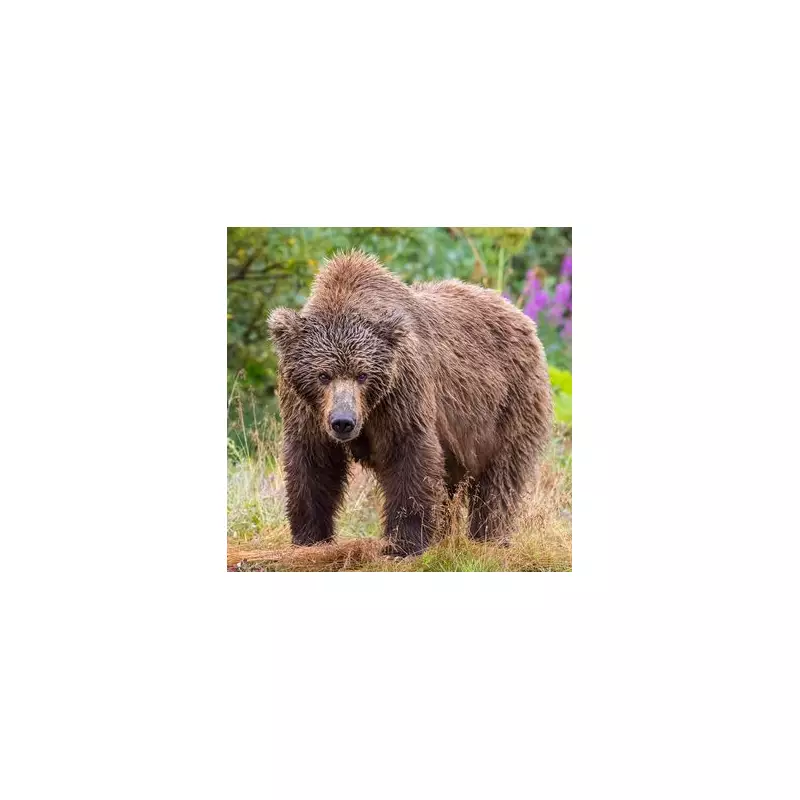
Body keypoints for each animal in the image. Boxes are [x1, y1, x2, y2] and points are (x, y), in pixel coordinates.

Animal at [268, 249, 553, 557]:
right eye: (323, 375)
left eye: (362, 375)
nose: (343, 422)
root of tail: (520, 315)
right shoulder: (306, 408)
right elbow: (313, 464)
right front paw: (309, 538)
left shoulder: (401, 393)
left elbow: (408, 454)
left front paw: (404, 544)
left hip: (508, 403)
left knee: (500, 477)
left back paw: (489, 538)